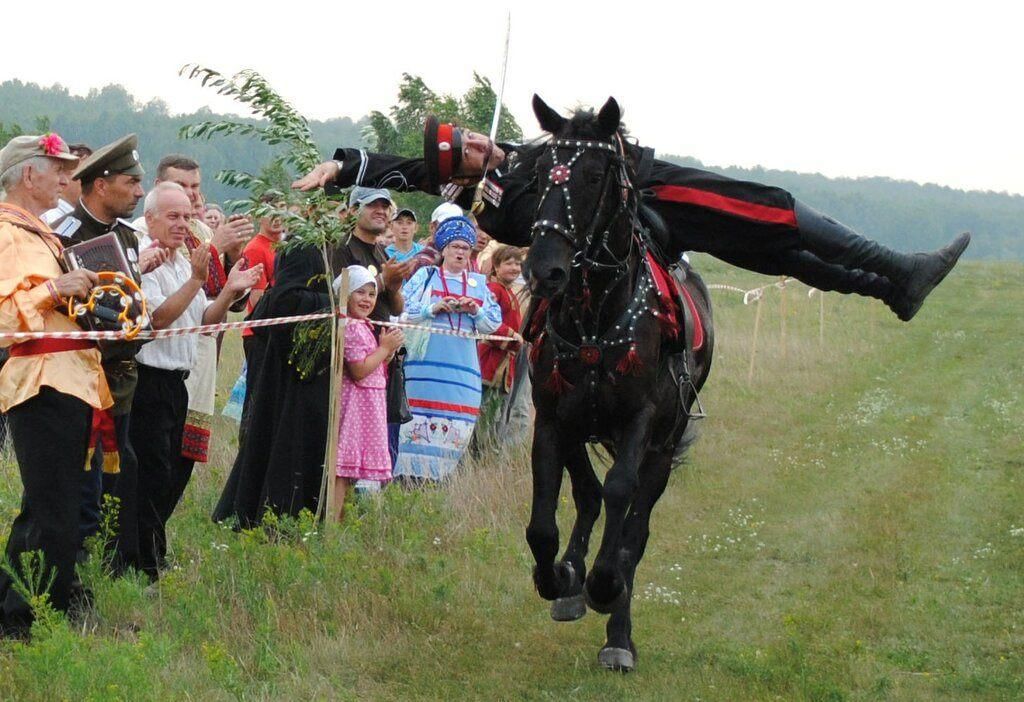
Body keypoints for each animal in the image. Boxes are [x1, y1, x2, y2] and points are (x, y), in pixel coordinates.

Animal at [524, 96, 716, 675]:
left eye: (592, 175)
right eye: (541, 173)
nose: (544, 271)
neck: (596, 320)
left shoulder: (640, 422)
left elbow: (622, 500)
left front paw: (606, 588)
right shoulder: (552, 416)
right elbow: (544, 525)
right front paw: (559, 577)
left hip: (663, 445)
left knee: (634, 525)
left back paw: (617, 630)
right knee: (587, 494)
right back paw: (571, 581)